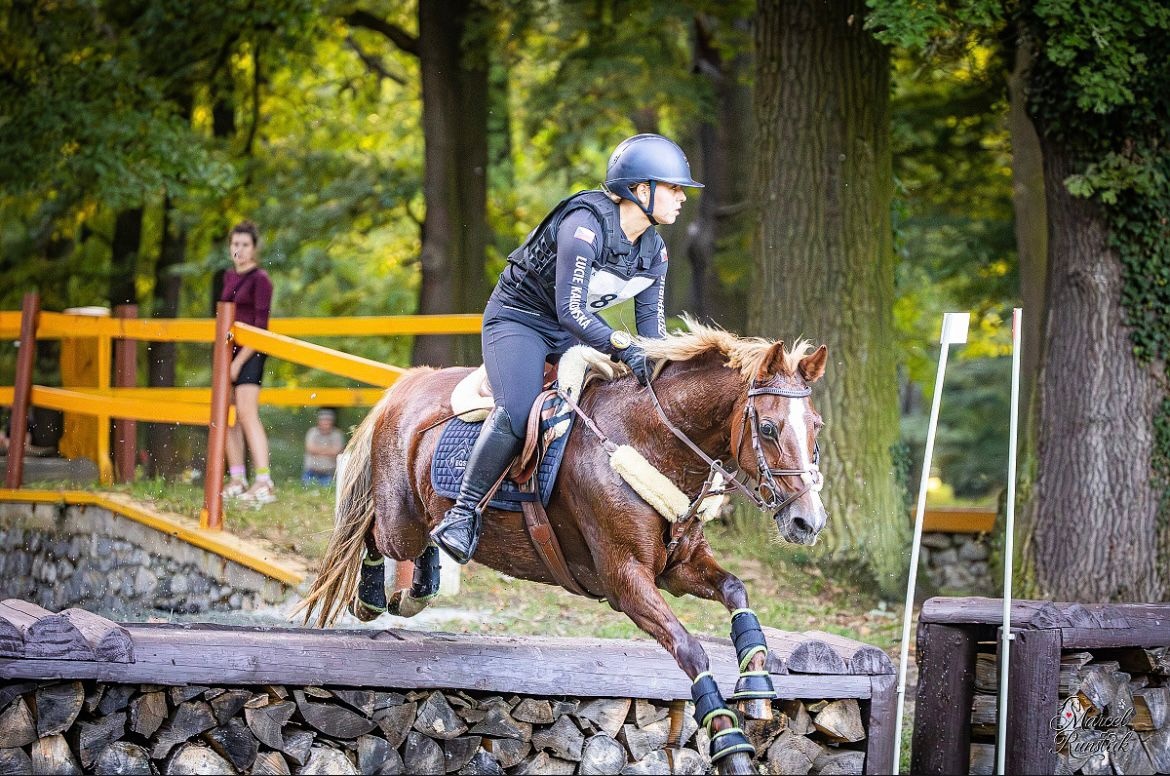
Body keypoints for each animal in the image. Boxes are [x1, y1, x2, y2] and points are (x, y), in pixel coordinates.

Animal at [294, 320, 828, 774]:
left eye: (816, 426)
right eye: (768, 428)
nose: (809, 521)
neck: (652, 441)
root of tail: (404, 387)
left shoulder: (679, 566)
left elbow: (737, 590)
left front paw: (756, 686)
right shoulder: (625, 579)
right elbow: (691, 649)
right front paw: (729, 745)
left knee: (413, 539)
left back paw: (421, 583)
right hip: (399, 519)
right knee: (370, 532)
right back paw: (373, 596)